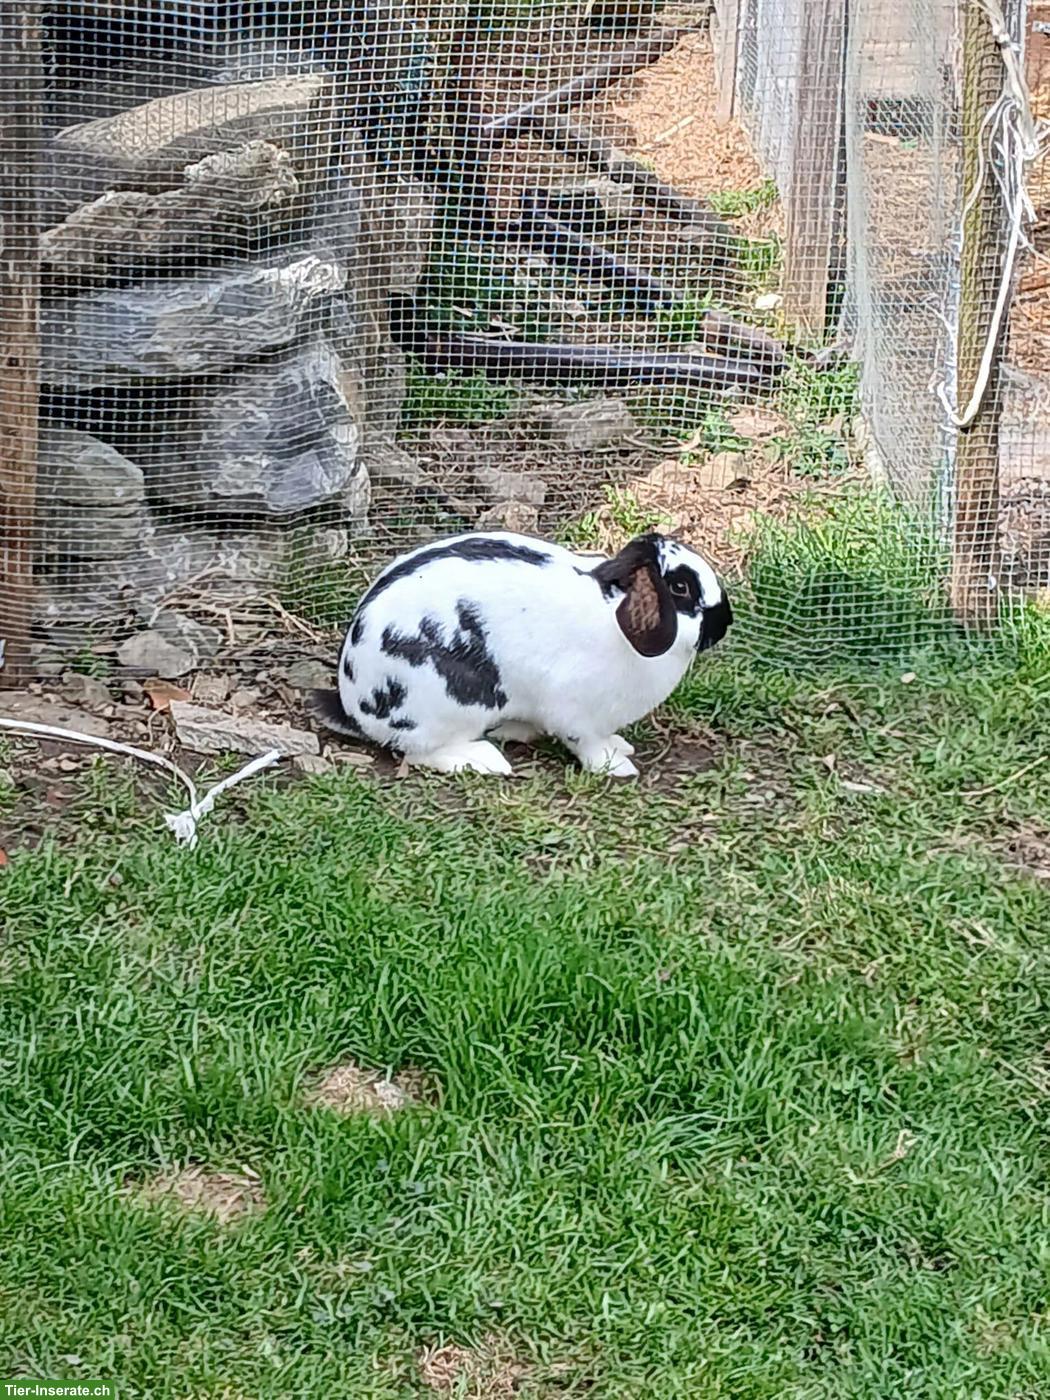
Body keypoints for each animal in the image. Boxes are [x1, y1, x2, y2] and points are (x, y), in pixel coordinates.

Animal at [309, 529, 732, 778]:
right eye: (680, 588)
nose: (725, 623)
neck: (614, 612)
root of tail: (352, 705)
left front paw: (620, 746)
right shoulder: (574, 712)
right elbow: (586, 743)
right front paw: (615, 766)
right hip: (449, 704)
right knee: (418, 751)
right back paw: (484, 759)